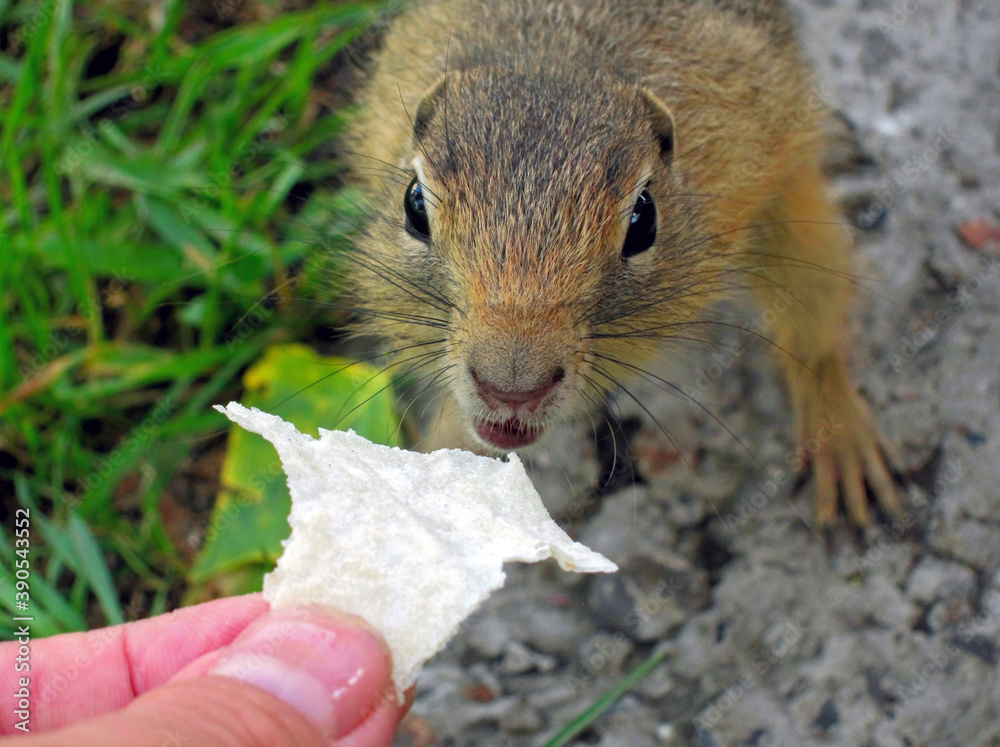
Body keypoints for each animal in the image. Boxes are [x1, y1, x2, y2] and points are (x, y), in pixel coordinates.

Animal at [340, 0, 904, 528]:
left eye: (643, 219)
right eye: (414, 205)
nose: (511, 389)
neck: (557, 58)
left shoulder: (771, 177)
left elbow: (812, 306)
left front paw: (837, 429)